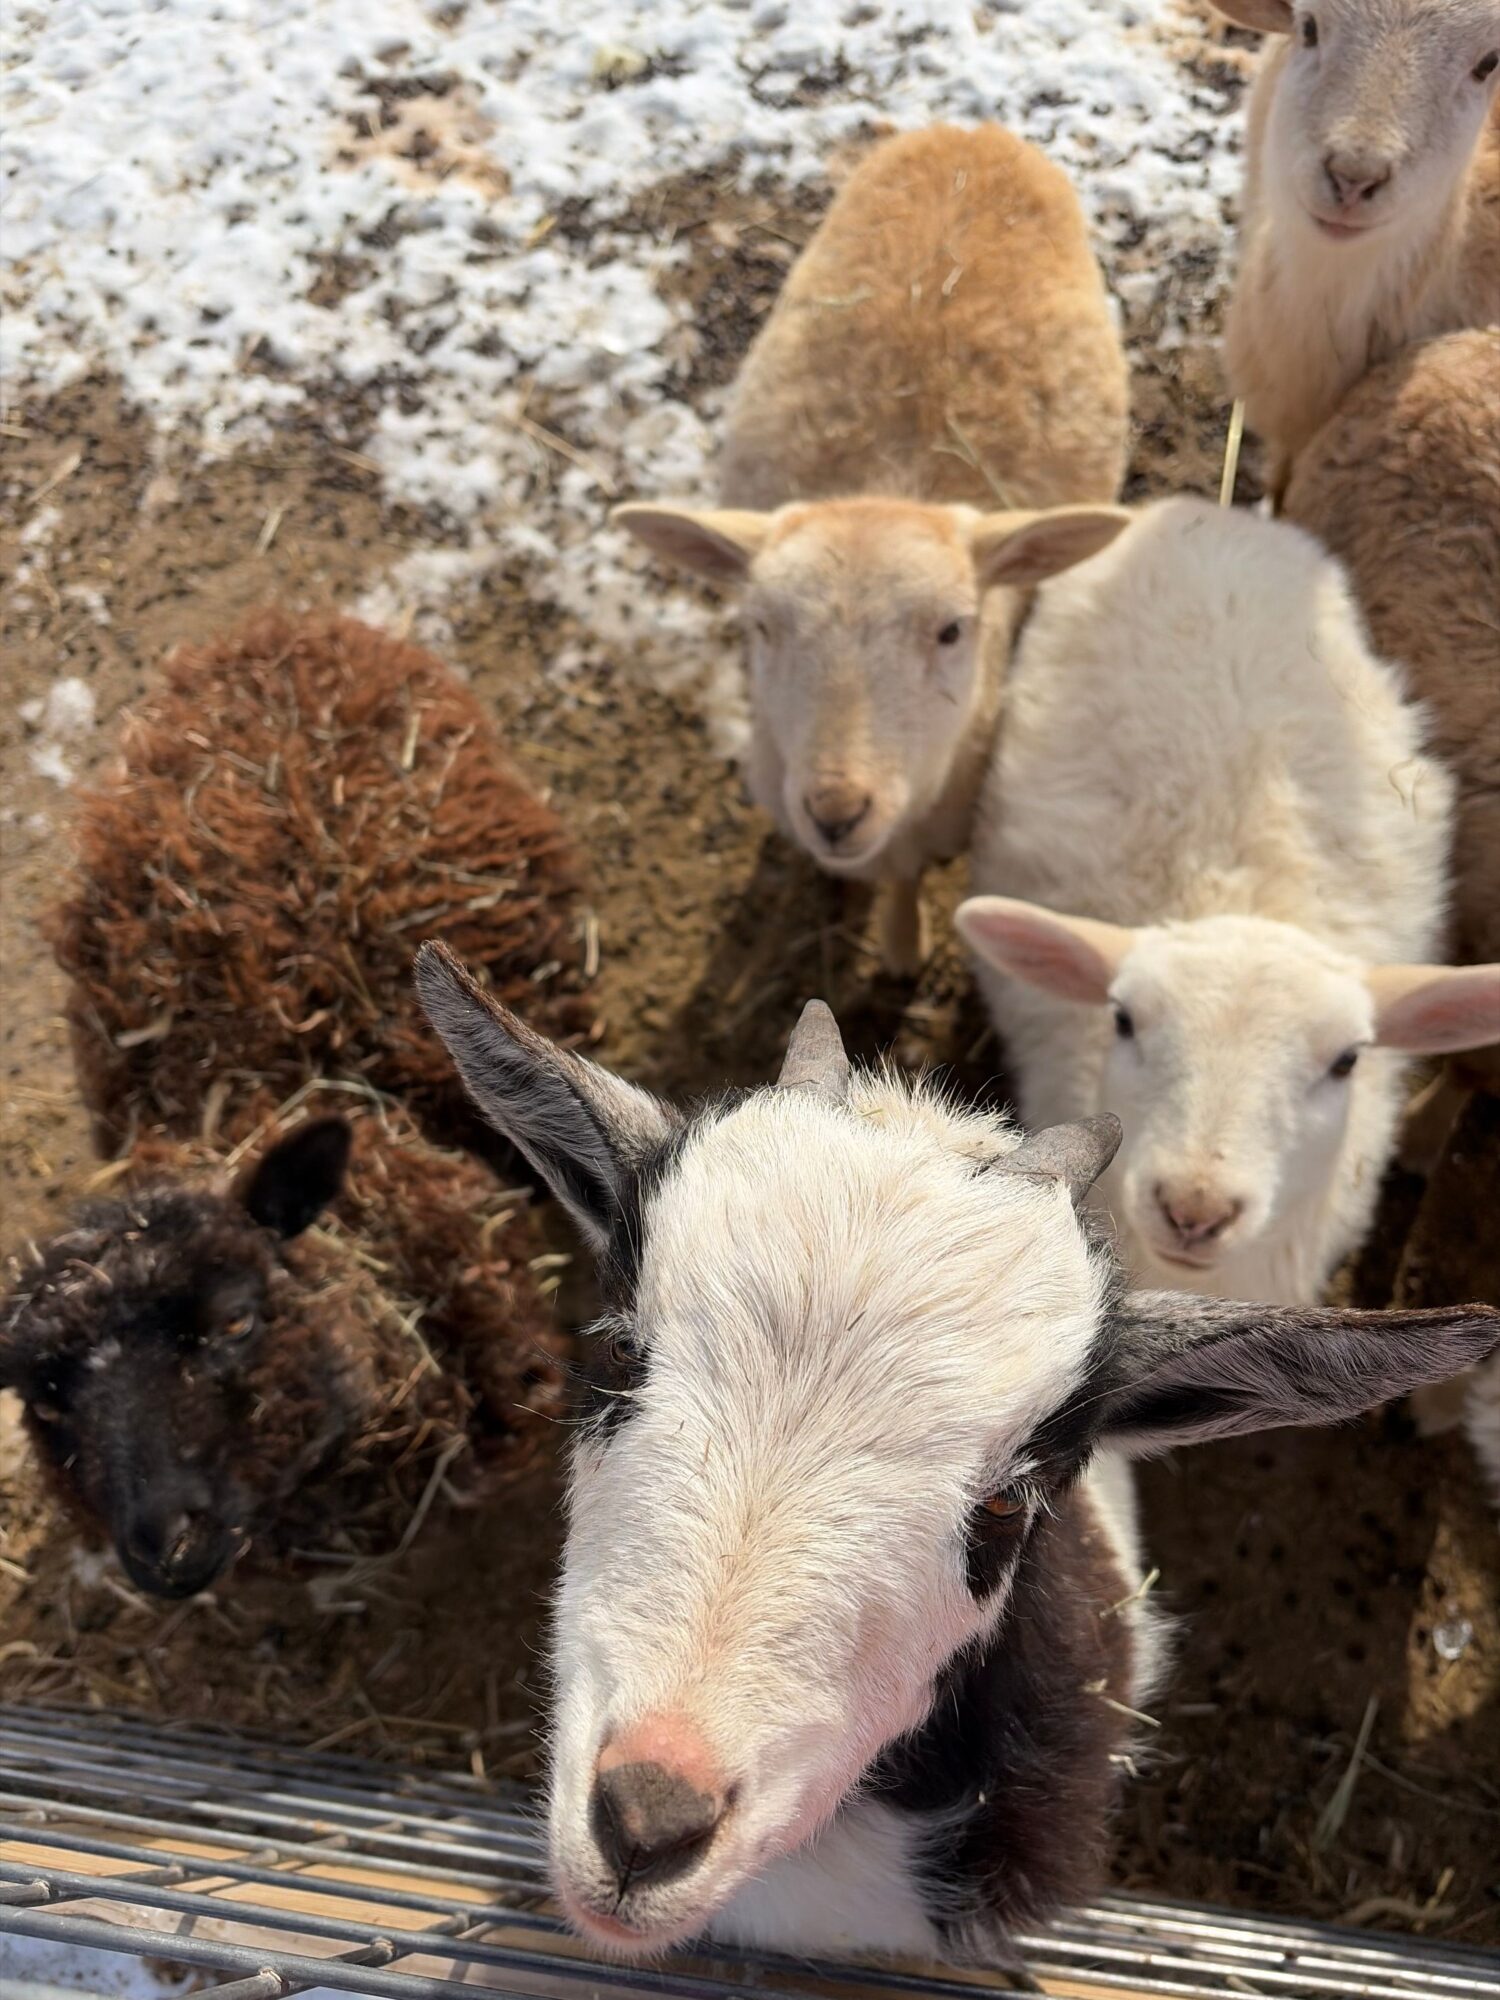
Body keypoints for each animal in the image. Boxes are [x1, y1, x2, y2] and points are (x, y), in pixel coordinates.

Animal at [613, 124, 1131, 974]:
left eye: (953, 630)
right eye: (761, 627)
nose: (835, 809)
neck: (888, 480)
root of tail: (972, 132)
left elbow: (905, 884)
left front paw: (900, 948)